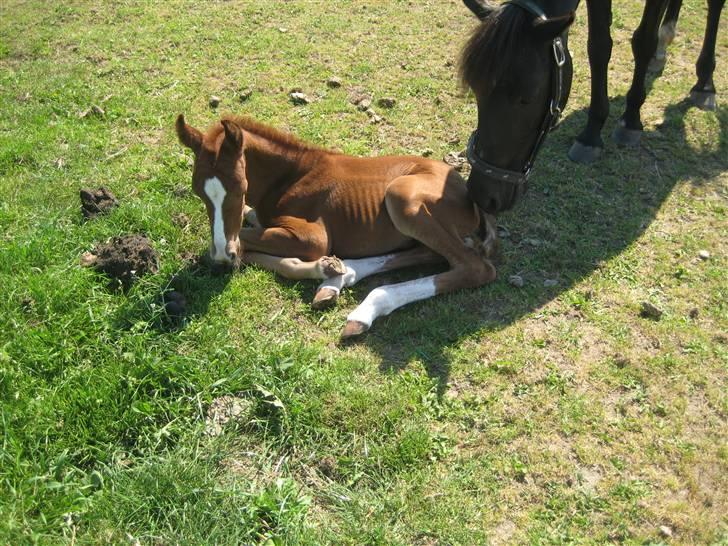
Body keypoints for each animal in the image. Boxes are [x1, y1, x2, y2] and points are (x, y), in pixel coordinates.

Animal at [460, 0, 724, 212]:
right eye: (477, 92)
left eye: (526, 98)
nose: (482, 196)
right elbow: (598, 47)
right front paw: (592, 133)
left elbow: (643, 41)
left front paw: (631, 119)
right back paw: (662, 48)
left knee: (715, 6)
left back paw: (704, 84)